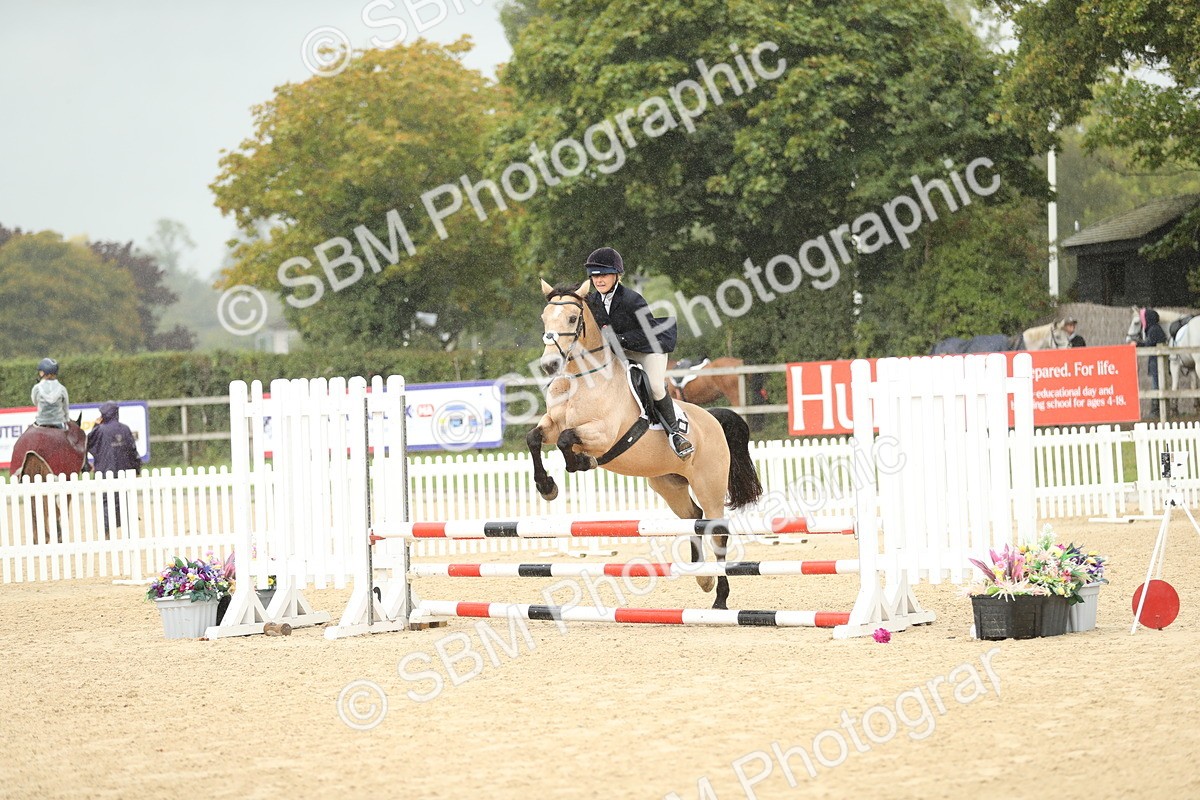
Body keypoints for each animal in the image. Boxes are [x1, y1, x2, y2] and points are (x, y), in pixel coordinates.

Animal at [527, 279, 764, 610]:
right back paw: (701, 577)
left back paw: (719, 597)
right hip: (668, 484)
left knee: (716, 530)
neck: (582, 380)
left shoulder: (603, 434)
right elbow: (535, 438)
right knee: (692, 517)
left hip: (710, 484)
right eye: (544, 318)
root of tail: (714, 420)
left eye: (572, 319)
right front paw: (546, 486)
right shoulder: (552, 423)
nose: (550, 365)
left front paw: (581, 462)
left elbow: (566, 440)